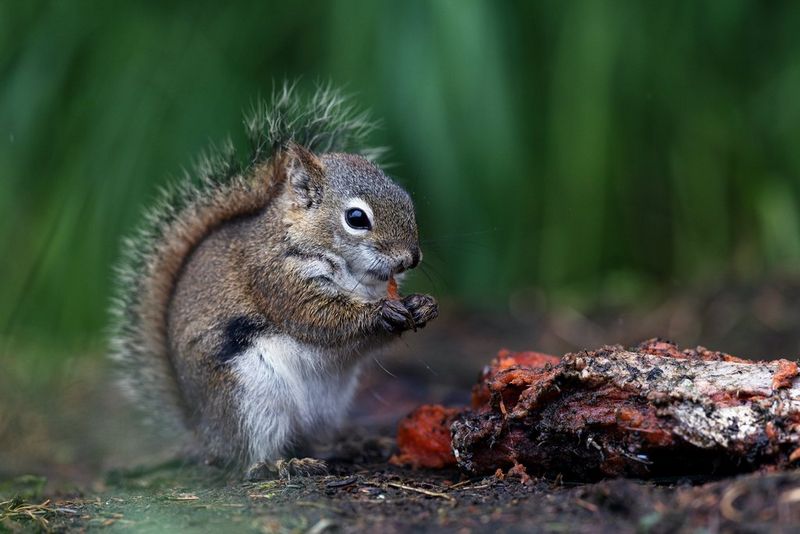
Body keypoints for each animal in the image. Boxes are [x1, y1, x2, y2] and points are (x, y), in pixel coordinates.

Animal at [109, 84, 438, 477]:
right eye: (357, 218)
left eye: (406, 198)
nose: (411, 257)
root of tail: (205, 431)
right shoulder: (273, 277)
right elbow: (319, 318)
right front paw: (379, 313)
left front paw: (421, 305)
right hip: (251, 398)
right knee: (250, 454)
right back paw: (281, 464)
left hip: (327, 407)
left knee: (311, 437)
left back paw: (351, 446)